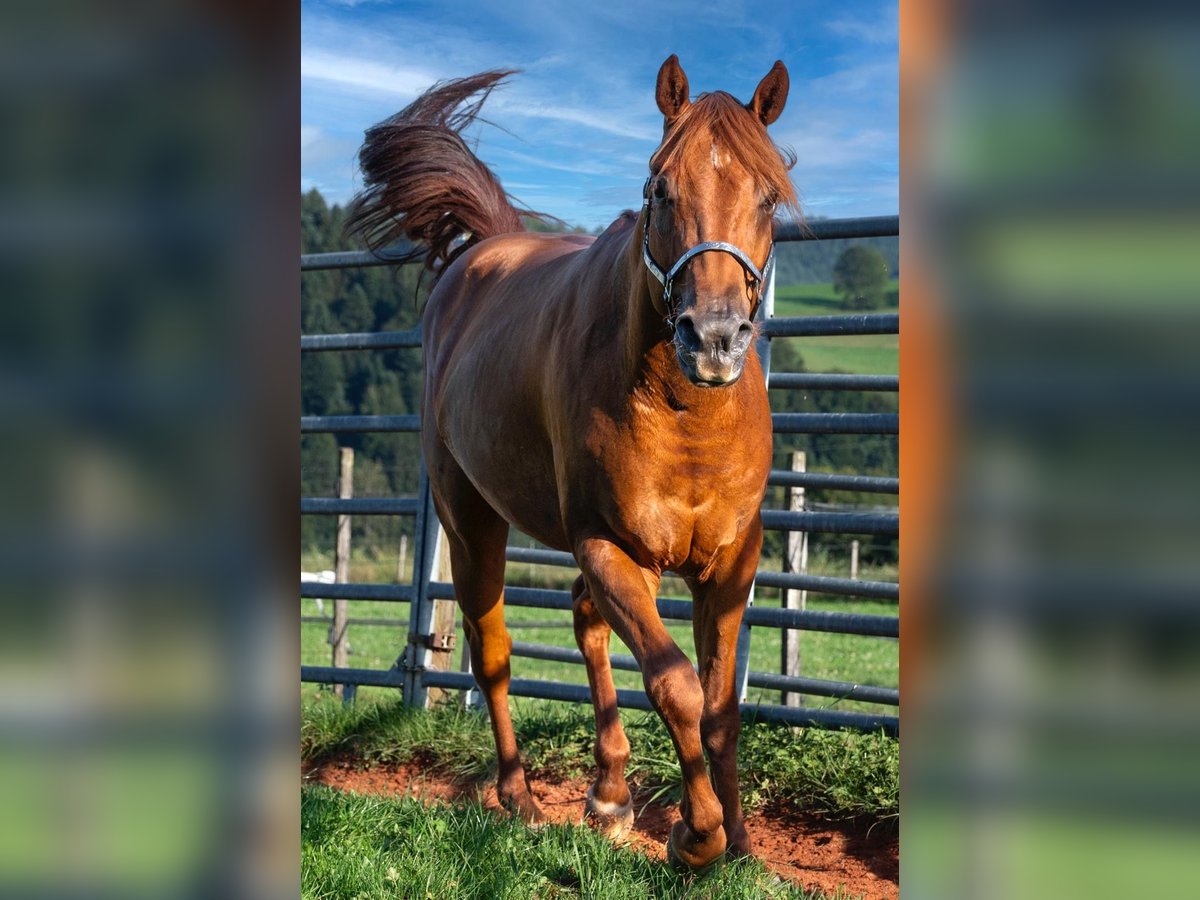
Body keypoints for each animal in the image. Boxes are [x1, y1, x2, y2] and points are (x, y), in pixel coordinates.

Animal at [348, 58, 796, 873]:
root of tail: (484, 250)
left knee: (585, 622)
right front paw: (697, 835)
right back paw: (519, 798)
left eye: (769, 195)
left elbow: (720, 708)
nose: (714, 338)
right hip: (472, 521)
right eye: (660, 187)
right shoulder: (607, 544)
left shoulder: (731, 562)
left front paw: (741, 843)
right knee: (492, 649)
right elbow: (678, 687)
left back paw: (611, 795)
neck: (685, 414)